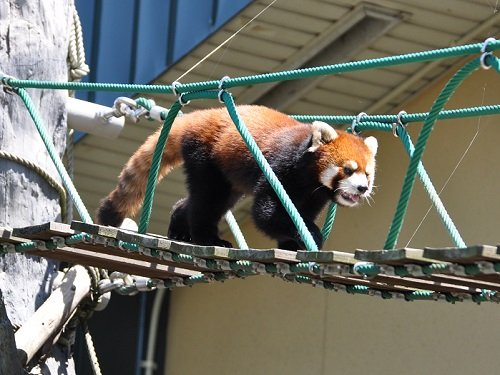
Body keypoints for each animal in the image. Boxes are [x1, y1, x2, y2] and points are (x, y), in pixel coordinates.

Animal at [97, 105, 376, 250]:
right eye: (348, 169)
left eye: (367, 174)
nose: (362, 188)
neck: (309, 178)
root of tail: (202, 115)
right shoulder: (281, 168)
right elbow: (266, 213)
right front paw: (309, 235)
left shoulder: (314, 194)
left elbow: (300, 211)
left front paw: (293, 243)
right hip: (206, 156)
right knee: (208, 200)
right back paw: (208, 238)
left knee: (209, 200)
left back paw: (179, 228)